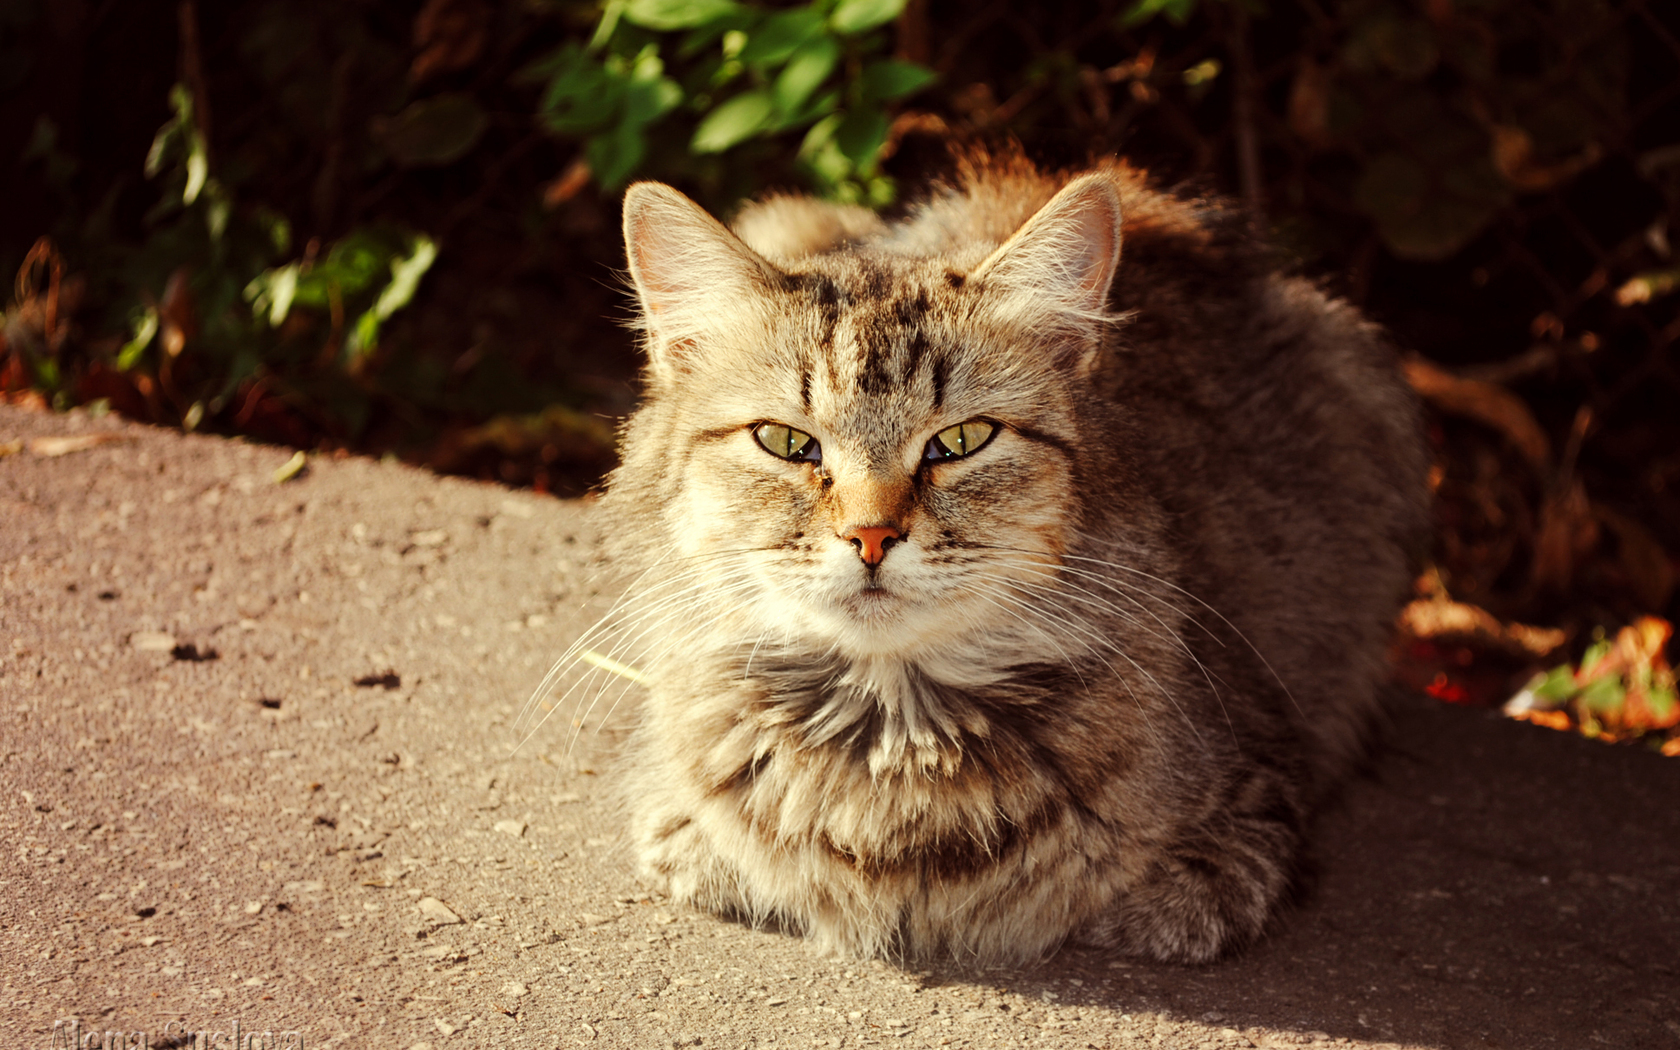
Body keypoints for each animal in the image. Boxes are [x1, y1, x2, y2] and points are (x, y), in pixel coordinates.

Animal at [554, 151, 1431, 960]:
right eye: (787, 443)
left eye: (962, 441)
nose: (871, 537)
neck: (891, 730)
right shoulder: (674, 825)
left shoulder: (1254, 815)